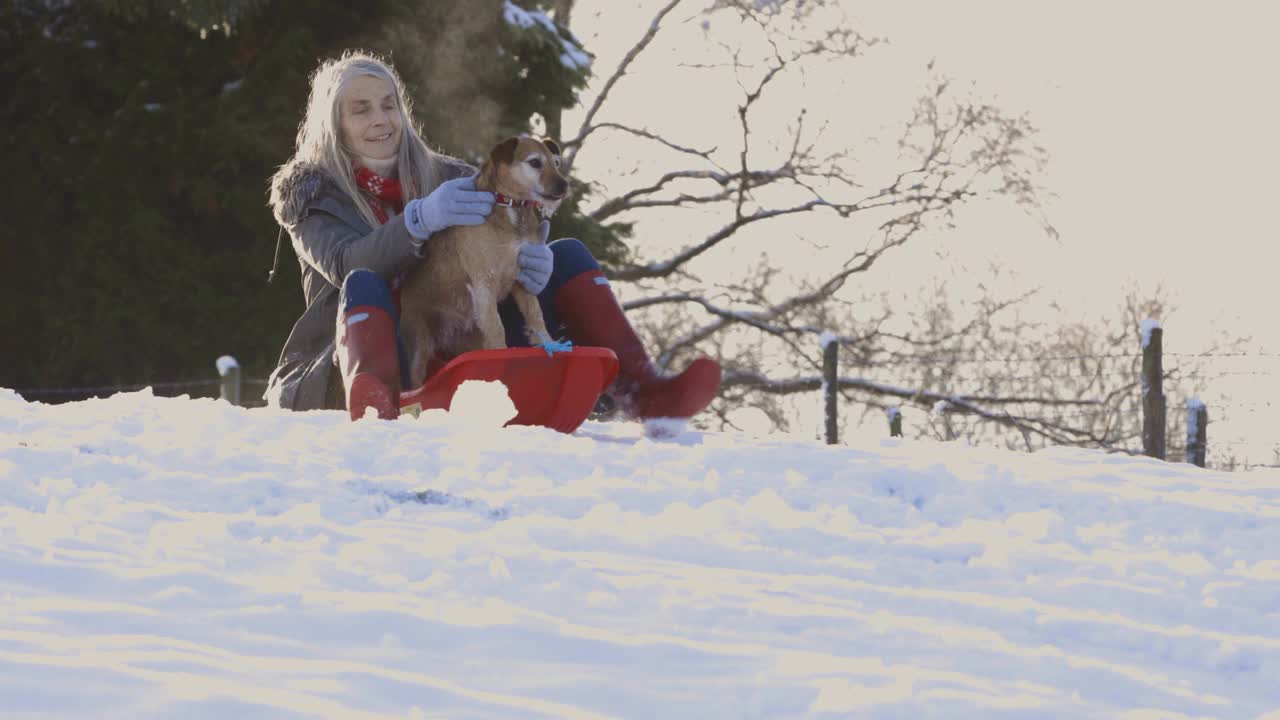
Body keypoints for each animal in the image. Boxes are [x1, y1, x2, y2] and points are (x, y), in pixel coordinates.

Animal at [394, 137, 565, 389]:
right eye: (535, 162)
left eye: (556, 163)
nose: (565, 185)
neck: (511, 209)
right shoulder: (484, 282)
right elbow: (497, 327)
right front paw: (502, 354)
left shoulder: (522, 278)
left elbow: (535, 314)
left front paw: (549, 343)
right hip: (418, 346)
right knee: (416, 381)